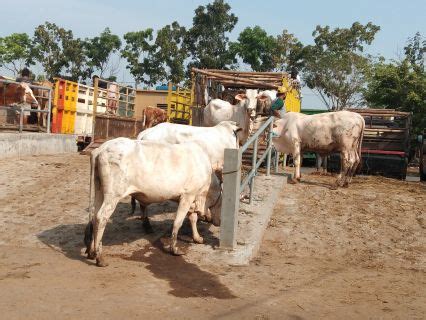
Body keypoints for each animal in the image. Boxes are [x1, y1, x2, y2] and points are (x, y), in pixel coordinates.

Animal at [84, 139, 221, 266]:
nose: (218, 223)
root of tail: (101, 148)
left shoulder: (190, 199)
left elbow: (193, 218)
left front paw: (197, 238)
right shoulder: (188, 195)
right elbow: (178, 222)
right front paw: (174, 249)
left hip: (100, 191)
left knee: (95, 217)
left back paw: (92, 251)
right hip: (113, 195)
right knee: (101, 217)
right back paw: (99, 258)